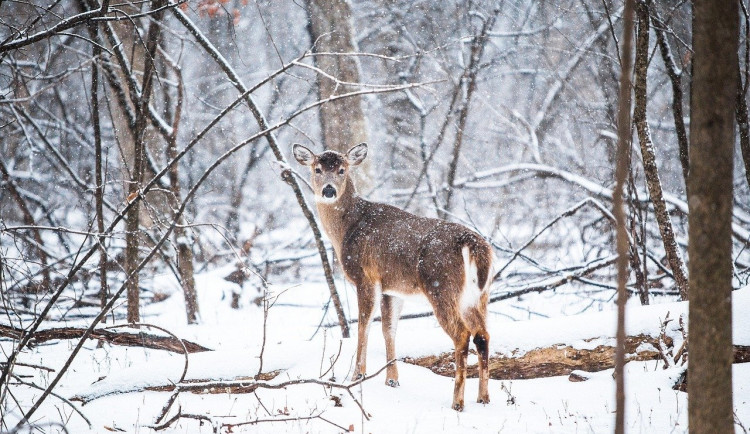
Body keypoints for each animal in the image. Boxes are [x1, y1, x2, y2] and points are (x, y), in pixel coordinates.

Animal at [294, 142, 494, 410]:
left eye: (341, 170)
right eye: (317, 169)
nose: (328, 190)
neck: (346, 229)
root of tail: (474, 245)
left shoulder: (365, 277)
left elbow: (364, 326)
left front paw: (357, 375)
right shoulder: (392, 288)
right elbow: (389, 329)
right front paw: (392, 380)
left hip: (441, 286)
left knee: (462, 335)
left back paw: (457, 402)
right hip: (478, 295)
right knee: (482, 335)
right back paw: (483, 398)